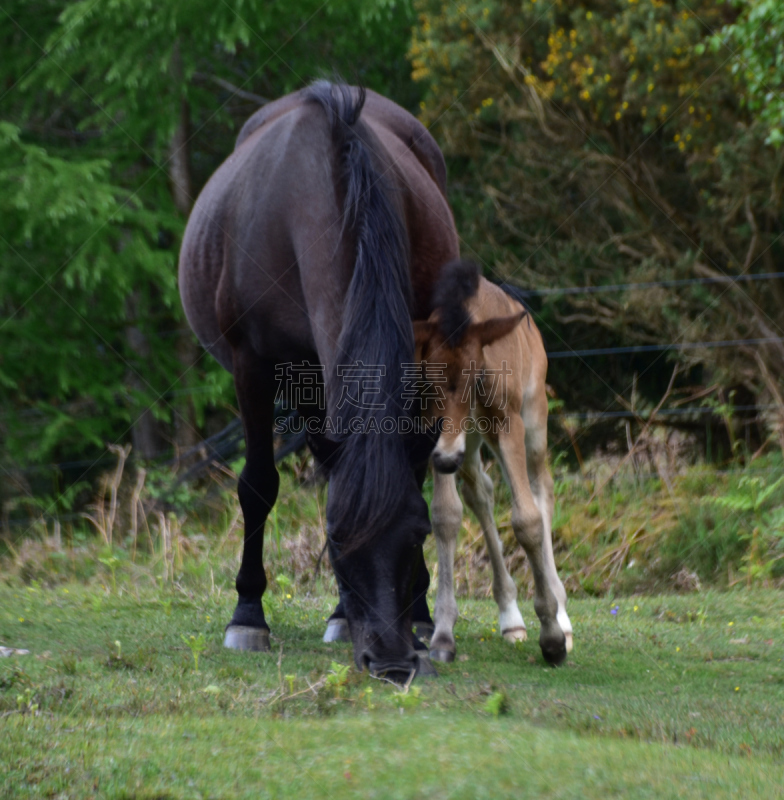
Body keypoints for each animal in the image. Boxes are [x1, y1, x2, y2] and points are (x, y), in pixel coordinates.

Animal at [177, 81, 460, 680]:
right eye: (335, 540)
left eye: (419, 533)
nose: (392, 661)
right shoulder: (254, 365)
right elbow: (258, 485)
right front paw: (247, 617)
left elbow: (412, 472)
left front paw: (419, 617)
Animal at [414, 260, 572, 664]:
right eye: (428, 383)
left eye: (475, 379)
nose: (445, 459)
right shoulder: (433, 433)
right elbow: (446, 515)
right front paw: (443, 634)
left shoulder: (507, 423)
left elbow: (527, 520)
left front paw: (552, 636)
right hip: (470, 444)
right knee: (480, 493)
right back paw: (510, 617)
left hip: (532, 418)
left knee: (542, 490)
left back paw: (563, 615)